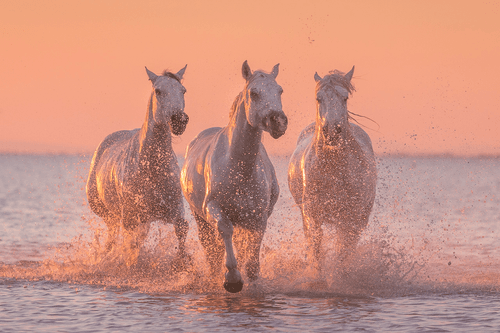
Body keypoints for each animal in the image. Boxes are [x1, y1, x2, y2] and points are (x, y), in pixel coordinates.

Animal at [86, 65, 189, 264]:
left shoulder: (174, 207)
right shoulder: (131, 217)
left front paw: (183, 262)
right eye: (158, 91)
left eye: (183, 90)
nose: (179, 120)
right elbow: (131, 246)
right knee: (113, 236)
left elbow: (182, 228)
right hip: (108, 213)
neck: (152, 168)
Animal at [182, 61, 288, 292]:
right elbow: (224, 230)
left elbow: (252, 256)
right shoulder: (213, 207)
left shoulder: (257, 216)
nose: (278, 121)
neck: (239, 170)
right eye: (254, 93)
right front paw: (232, 279)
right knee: (211, 248)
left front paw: (251, 278)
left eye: (280, 90)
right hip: (199, 217)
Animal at [288, 66, 376, 266]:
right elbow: (316, 246)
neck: (334, 170)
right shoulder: (311, 213)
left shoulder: (351, 217)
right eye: (318, 98)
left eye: (345, 97)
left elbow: (343, 251)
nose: (332, 132)